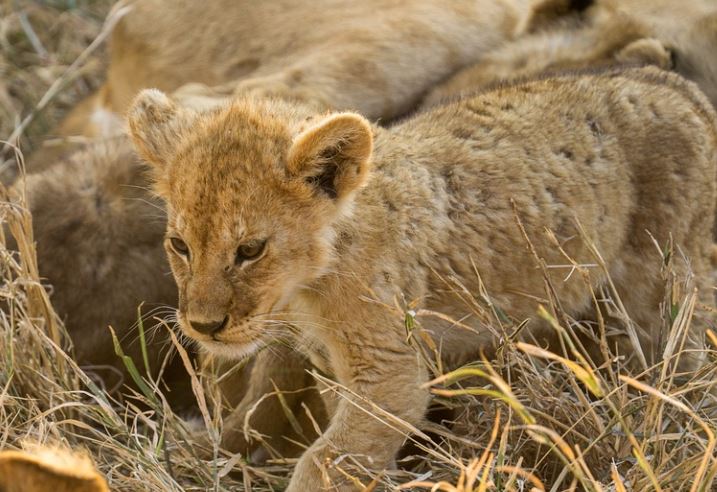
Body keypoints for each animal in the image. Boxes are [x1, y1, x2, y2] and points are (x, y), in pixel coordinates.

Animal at [127, 66, 717, 489]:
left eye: (250, 250)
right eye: (180, 246)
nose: (203, 326)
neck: (303, 290)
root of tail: (674, 85)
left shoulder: (390, 372)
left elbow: (325, 461)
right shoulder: (328, 365)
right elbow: (332, 443)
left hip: (656, 282)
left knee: (675, 359)